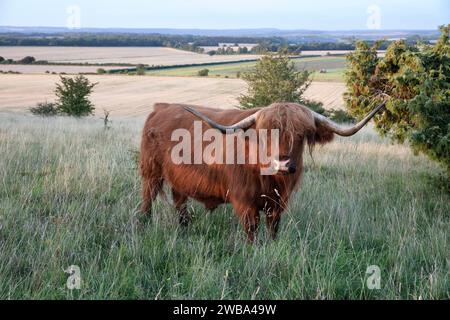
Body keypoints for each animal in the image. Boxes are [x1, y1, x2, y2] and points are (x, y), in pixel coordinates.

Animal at [140, 102, 384, 242]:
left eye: (302, 134)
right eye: (266, 133)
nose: (283, 164)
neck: (269, 179)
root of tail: (160, 108)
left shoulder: (277, 204)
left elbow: (273, 228)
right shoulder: (244, 202)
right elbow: (252, 230)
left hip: (178, 180)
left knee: (179, 202)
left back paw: (184, 230)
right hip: (150, 172)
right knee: (148, 199)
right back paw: (144, 224)